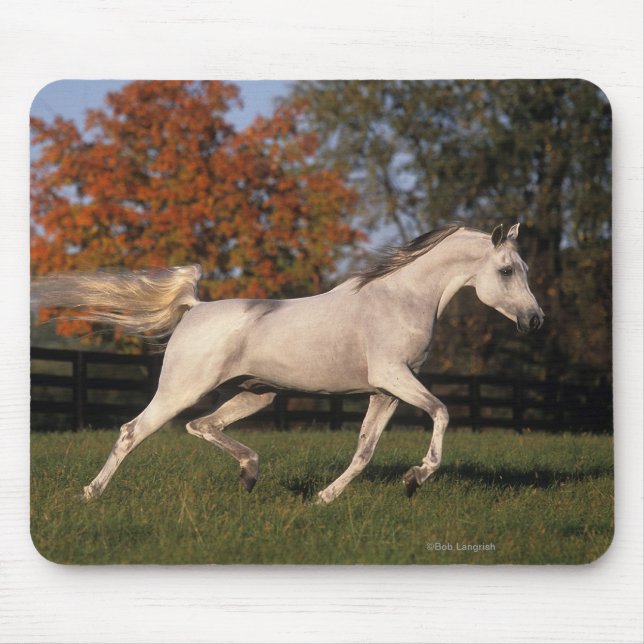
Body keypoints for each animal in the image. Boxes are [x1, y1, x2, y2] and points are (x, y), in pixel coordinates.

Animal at [32, 223, 544, 503]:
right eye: (505, 271)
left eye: (524, 269)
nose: (535, 320)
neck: (399, 298)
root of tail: (195, 308)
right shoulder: (394, 377)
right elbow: (442, 411)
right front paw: (415, 477)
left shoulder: (385, 392)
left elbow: (364, 451)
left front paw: (324, 498)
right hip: (182, 390)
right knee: (132, 432)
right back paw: (90, 494)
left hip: (256, 394)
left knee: (202, 426)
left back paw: (249, 474)